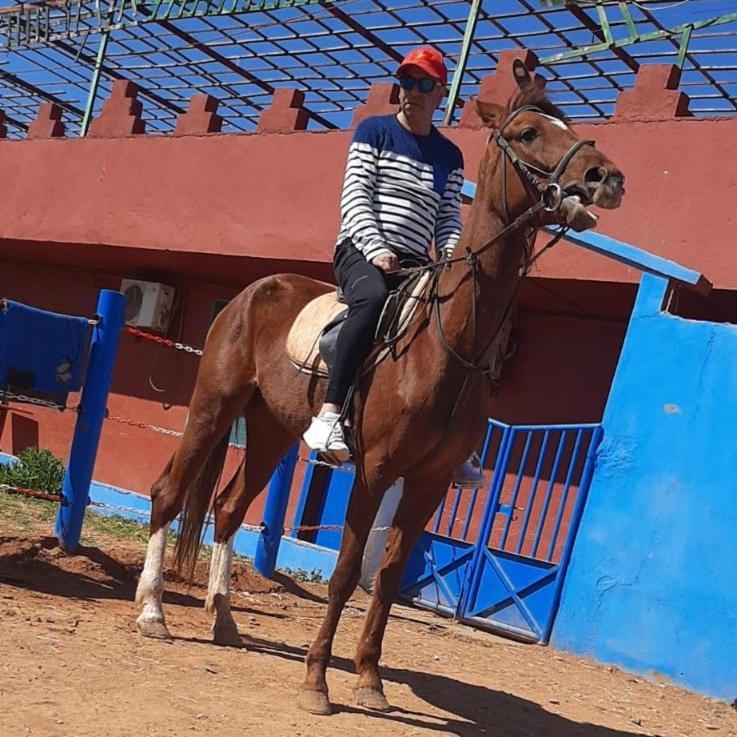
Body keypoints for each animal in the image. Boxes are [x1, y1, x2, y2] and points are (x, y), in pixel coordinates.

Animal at [132, 66, 620, 716]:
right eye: (527, 132)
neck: (445, 343)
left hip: (268, 428)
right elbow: (344, 574)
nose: (605, 177)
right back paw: (154, 612)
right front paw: (317, 681)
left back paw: (225, 619)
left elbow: (386, 578)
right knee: (167, 493)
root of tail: (252, 292)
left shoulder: (429, 483)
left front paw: (369, 678)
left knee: (229, 507)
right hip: (213, 408)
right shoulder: (375, 471)